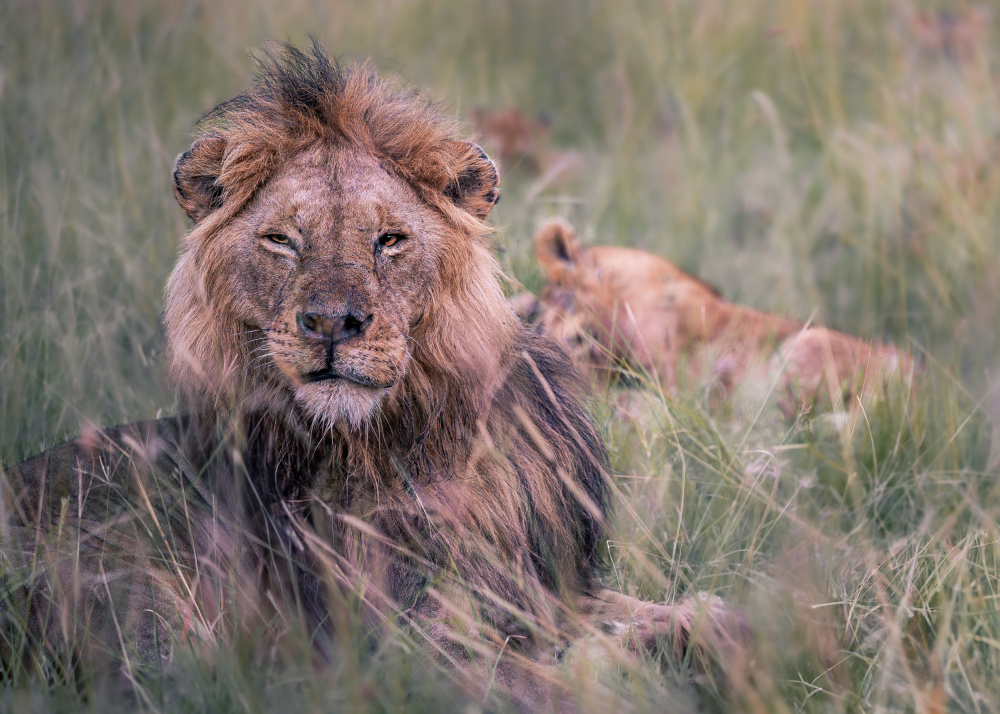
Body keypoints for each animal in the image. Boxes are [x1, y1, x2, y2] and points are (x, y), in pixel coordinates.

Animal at [2, 45, 739, 708]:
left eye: (389, 240)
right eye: (281, 240)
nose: (332, 322)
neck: (414, 437)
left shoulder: (548, 592)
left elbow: (698, 611)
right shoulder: (407, 645)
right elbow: (559, 683)